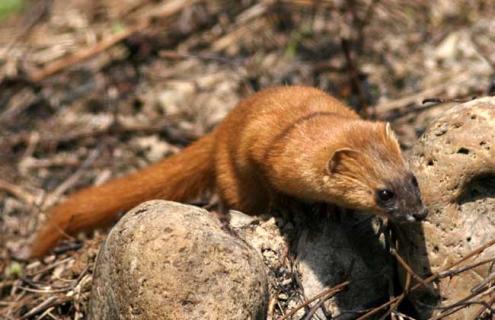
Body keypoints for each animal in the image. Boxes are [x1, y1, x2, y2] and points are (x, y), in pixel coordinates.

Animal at [24, 86, 426, 258]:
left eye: (412, 178)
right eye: (384, 193)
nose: (419, 212)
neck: (298, 124)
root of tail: (220, 128)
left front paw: (329, 207)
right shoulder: (260, 154)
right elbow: (274, 188)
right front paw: (291, 207)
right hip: (231, 177)